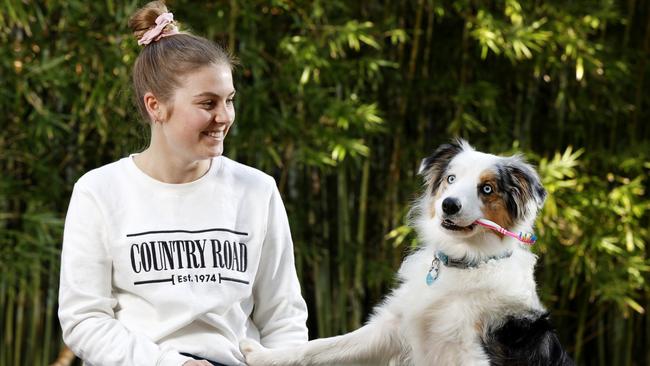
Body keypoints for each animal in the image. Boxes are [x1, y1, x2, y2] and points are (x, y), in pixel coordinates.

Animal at [239, 141, 572, 366]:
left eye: (487, 189)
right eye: (451, 179)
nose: (449, 205)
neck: (465, 262)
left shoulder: (472, 353)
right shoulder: (391, 328)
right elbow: (320, 347)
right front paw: (264, 356)